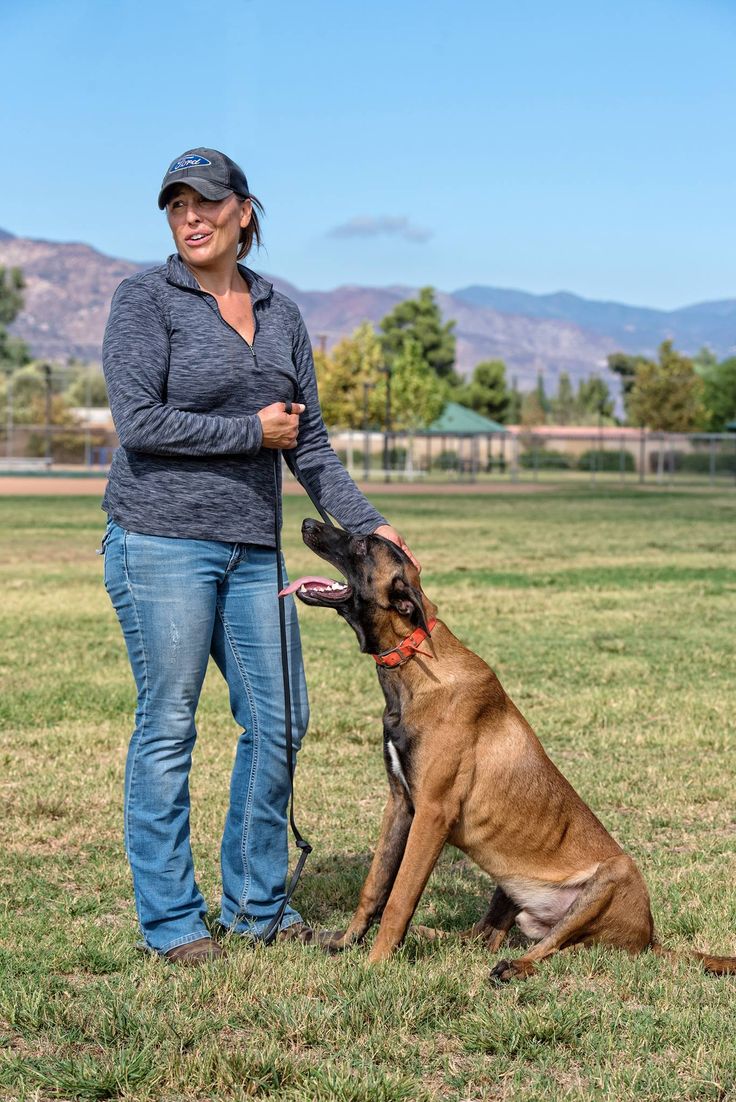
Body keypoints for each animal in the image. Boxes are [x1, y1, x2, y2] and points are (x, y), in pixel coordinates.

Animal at [286, 520, 736, 987]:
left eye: (361, 544)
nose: (307, 523)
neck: (413, 658)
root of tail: (649, 940)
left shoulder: (431, 814)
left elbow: (399, 898)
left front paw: (373, 966)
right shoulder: (400, 804)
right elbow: (374, 886)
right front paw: (344, 943)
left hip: (616, 875)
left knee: (554, 947)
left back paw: (514, 966)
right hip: (508, 885)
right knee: (484, 936)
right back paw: (435, 936)